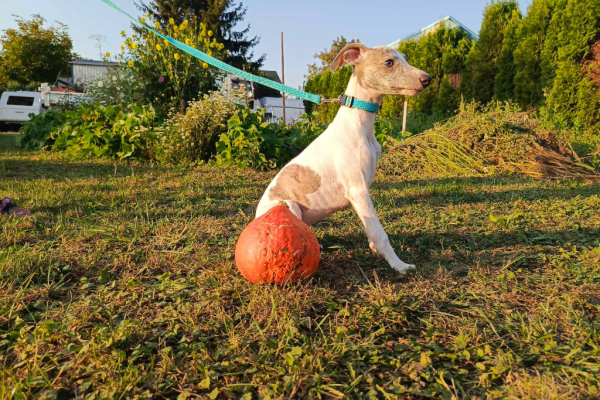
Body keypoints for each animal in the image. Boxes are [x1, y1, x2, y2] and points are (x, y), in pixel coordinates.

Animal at [255, 44, 428, 276]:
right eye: (389, 62)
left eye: (405, 59)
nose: (427, 79)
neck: (360, 124)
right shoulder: (358, 190)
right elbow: (380, 233)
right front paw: (399, 265)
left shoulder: (361, 194)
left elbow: (371, 228)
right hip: (288, 204)